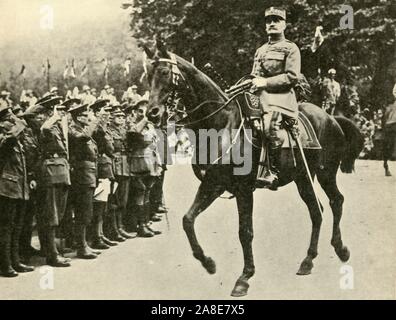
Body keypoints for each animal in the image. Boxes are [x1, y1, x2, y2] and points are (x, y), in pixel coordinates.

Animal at [144, 42, 364, 298]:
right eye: (148, 75)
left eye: (164, 73)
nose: (152, 113)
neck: (221, 122)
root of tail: (330, 117)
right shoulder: (213, 183)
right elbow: (188, 220)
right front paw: (208, 263)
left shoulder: (243, 189)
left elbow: (245, 232)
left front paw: (244, 277)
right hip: (303, 178)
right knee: (316, 210)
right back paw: (308, 260)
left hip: (325, 173)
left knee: (336, 201)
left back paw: (341, 249)